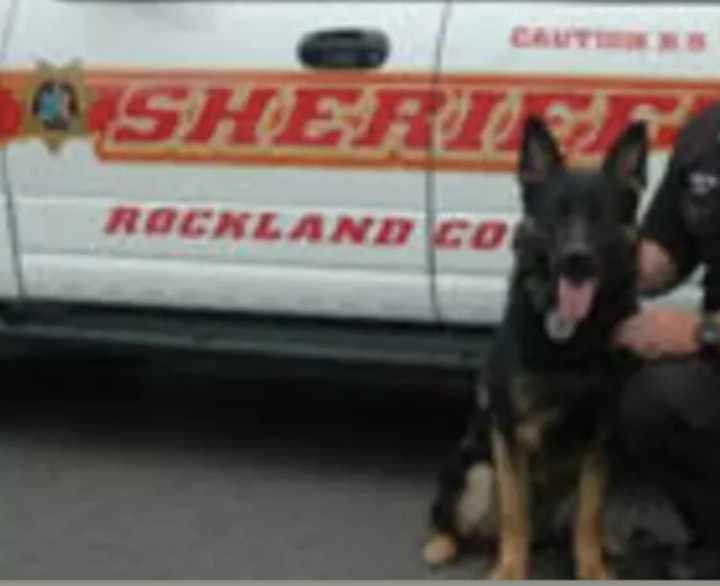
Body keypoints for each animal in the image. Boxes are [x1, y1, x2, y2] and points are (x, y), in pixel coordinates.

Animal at [422, 116, 648, 576]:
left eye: (601, 218)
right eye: (556, 217)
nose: (577, 261)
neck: (573, 340)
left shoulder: (602, 438)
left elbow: (590, 513)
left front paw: (591, 569)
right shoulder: (509, 433)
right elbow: (515, 513)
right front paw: (510, 571)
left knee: (578, 523)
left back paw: (606, 544)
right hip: (477, 472)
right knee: (450, 517)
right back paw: (442, 544)